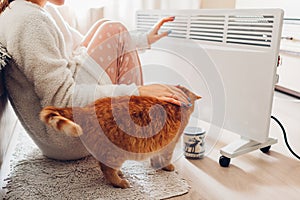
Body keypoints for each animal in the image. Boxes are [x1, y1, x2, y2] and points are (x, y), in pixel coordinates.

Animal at [39, 85, 199, 188]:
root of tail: (87, 108)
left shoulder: (159, 143)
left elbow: (155, 157)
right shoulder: (169, 145)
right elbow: (166, 158)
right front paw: (167, 167)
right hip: (115, 153)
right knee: (107, 170)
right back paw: (121, 182)